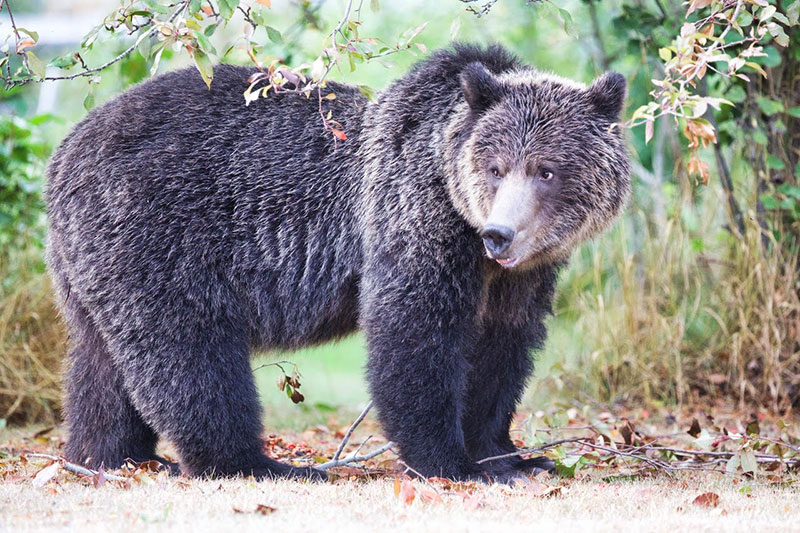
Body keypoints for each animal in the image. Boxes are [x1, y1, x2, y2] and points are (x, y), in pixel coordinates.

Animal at [45, 43, 632, 480]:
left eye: (546, 170)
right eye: (495, 167)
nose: (500, 235)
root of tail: (65, 151)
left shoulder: (521, 276)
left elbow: (502, 348)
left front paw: (512, 457)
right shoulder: (412, 214)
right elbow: (414, 333)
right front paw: (451, 462)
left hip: (90, 261)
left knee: (101, 361)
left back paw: (111, 454)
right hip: (158, 233)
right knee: (188, 350)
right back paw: (259, 463)